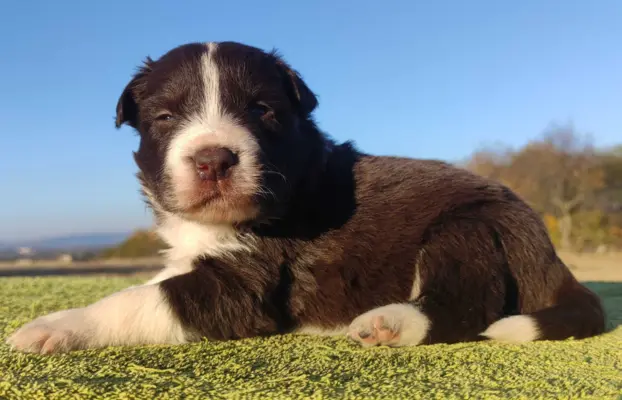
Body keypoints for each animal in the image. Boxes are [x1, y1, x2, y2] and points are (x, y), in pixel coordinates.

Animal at [4, 40, 608, 354]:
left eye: (262, 110)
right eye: (166, 117)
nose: (213, 160)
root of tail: (555, 260)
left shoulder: (245, 284)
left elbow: (136, 300)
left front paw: (53, 327)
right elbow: (153, 282)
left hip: (469, 227)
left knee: (467, 301)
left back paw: (390, 324)